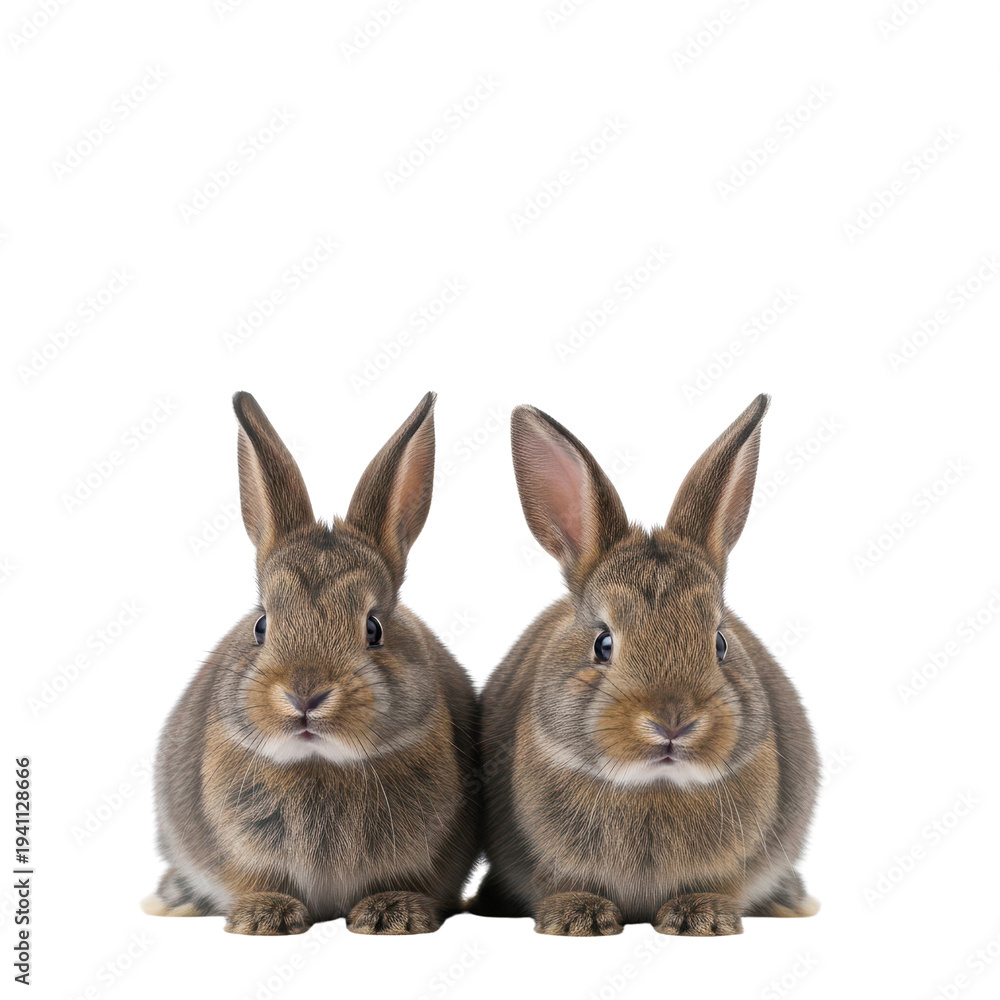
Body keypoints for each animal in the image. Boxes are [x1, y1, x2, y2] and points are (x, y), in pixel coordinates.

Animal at [142, 391, 480, 935]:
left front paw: (391, 914)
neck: (319, 763)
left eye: (374, 628)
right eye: (261, 625)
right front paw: (265, 917)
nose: (304, 695)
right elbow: (258, 879)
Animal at [470, 394, 818, 936]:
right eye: (603, 643)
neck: (653, 785)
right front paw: (577, 918)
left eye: (720, 642)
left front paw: (702, 917)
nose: (672, 722)